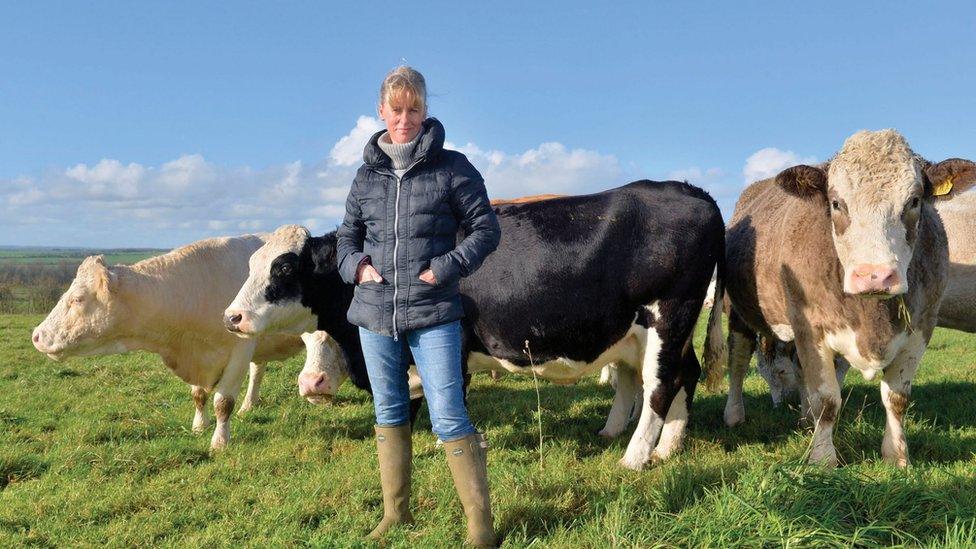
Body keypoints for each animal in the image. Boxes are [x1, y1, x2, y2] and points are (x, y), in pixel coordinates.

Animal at [31, 235, 302, 450]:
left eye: (77, 299)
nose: (36, 335)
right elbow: (199, 395)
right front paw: (199, 426)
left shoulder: (240, 351)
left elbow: (223, 402)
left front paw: (219, 442)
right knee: (258, 370)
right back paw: (249, 406)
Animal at [704, 130, 948, 466]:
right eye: (836, 202)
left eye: (914, 201)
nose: (874, 275)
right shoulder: (810, 326)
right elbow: (827, 399)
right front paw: (822, 459)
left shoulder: (921, 329)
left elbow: (896, 398)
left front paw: (897, 457)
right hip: (740, 314)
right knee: (739, 362)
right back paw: (734, 414)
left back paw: (806, 419)